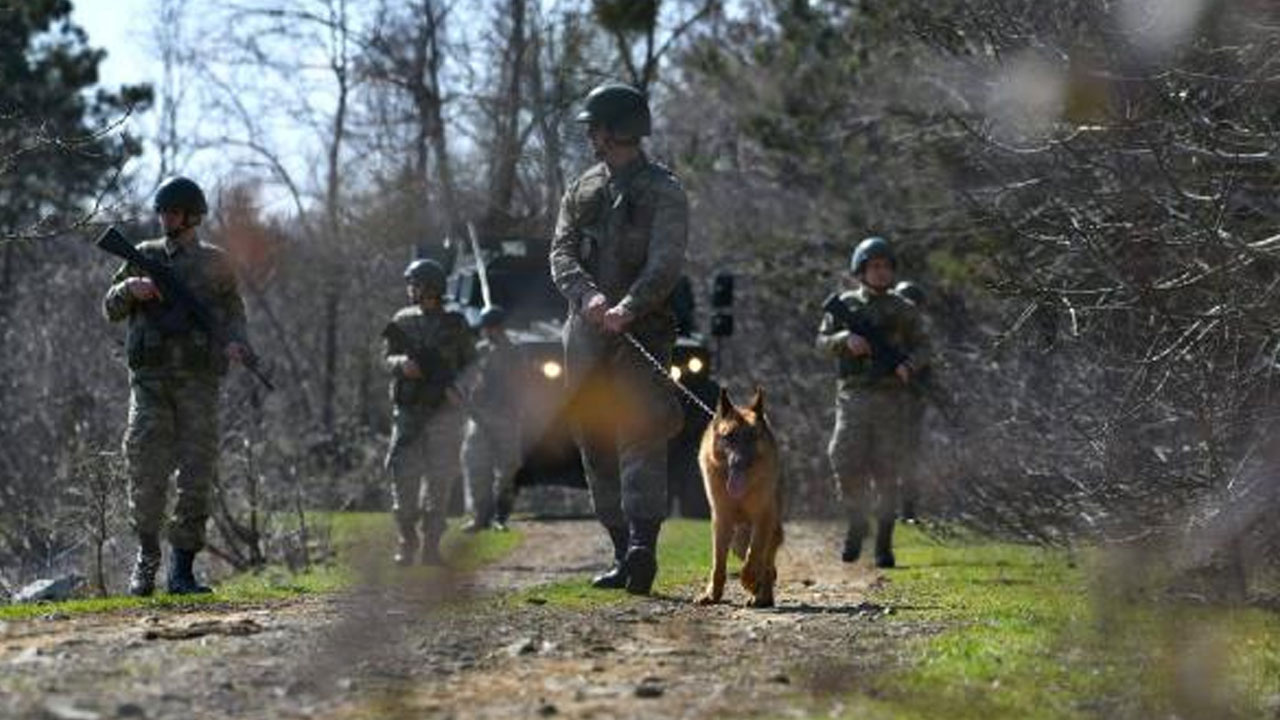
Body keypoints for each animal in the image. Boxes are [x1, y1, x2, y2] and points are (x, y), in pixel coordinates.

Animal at [696, 386, 783, 604]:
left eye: (752, 437)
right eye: (729, 436)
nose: (738, 462)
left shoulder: (763, 518)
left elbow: (755, 555)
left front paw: (750, 581)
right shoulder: (721, 520)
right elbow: (718, 563)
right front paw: (713, 594)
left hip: (765, 530)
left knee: (768, 565)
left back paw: (761, 595)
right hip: (738, 540)